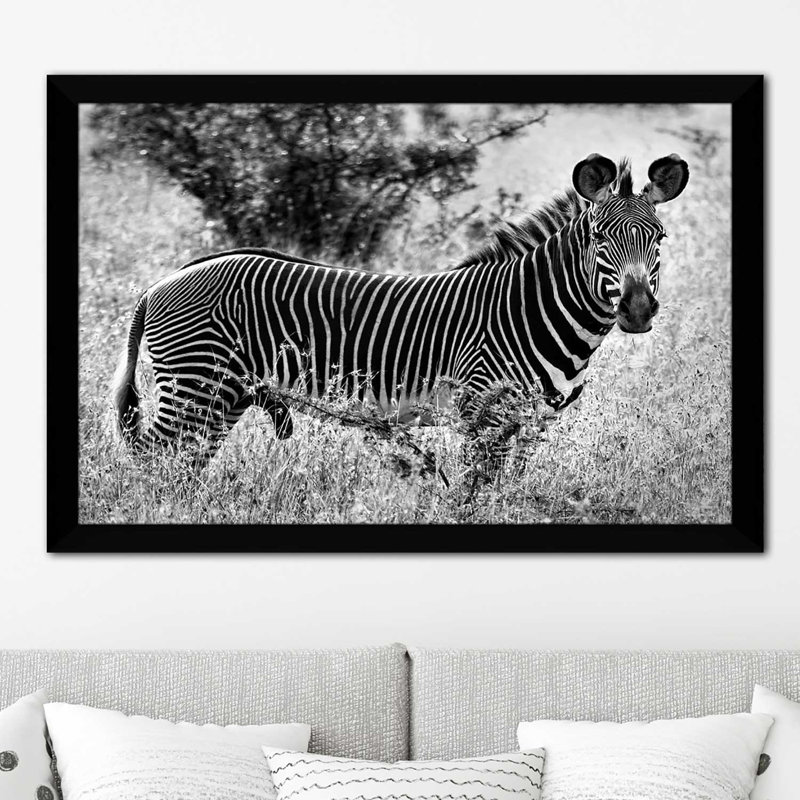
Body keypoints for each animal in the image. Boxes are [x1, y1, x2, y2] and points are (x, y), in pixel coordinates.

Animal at [112, 153, 689, 465]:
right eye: (598, 238)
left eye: (659, 237)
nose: (638, 309)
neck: (532, 307)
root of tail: (161, 282)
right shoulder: (482, 414)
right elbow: (475, 497)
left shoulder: (531, 423)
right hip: (195, 387)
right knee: (157, 464)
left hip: (223, 397)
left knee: (181, 469)